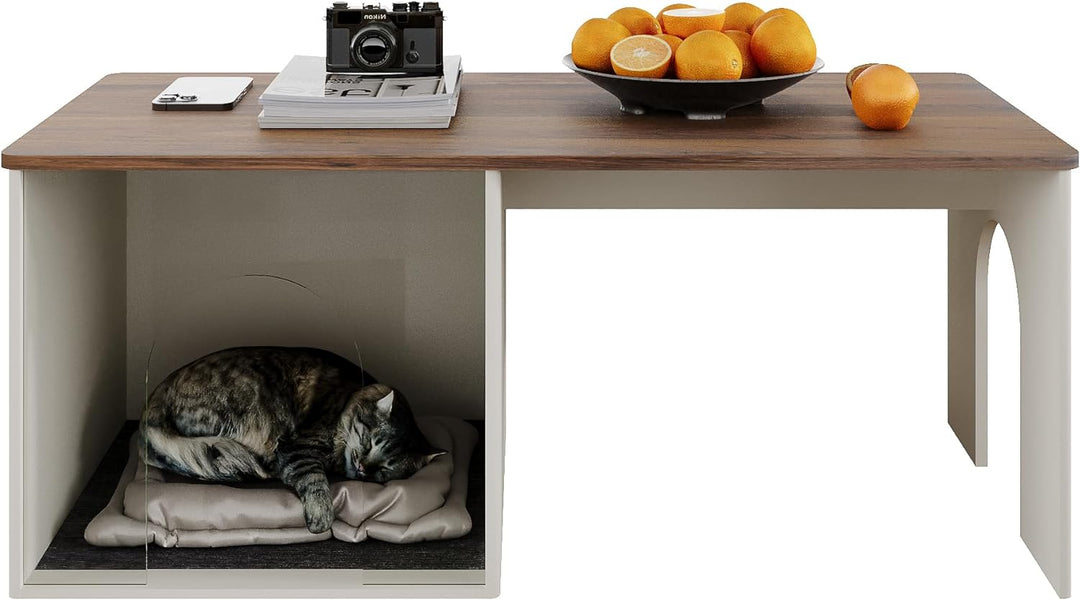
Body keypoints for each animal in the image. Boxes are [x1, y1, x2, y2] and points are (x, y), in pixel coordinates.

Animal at [139, 347, 442, 535]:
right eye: (369, 442)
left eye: (386, 467)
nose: (363, 467)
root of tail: (157, 392)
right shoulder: (299, 448)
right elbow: (316, 482)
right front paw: (321, 519)